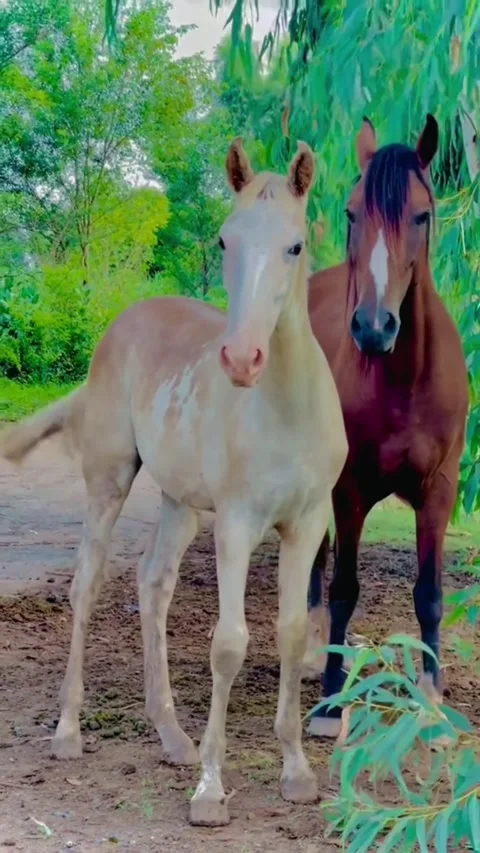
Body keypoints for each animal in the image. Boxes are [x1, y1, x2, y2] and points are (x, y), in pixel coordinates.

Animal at [0, 139, 347, 826]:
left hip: (180, 504)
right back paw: (68, 731)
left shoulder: (307, 524)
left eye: (295, 245)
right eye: (224, 240)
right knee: (87, 585)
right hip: (110, 481)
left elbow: (293, 633)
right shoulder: (237, 524)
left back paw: (171, 735)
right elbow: (229, 644)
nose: (241, 359)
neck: (285, 410)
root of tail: (125, 321)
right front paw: (211, 791)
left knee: (152, 584)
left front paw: (296, 771)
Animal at [303, 115, 469, 737]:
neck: (404, 379)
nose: (373, 328)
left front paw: (432, 695)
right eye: (352, 213)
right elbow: (345, 588)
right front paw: (331, 701)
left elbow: (429, 593)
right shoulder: (349, 491)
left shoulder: (439, 492)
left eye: (421, 215)